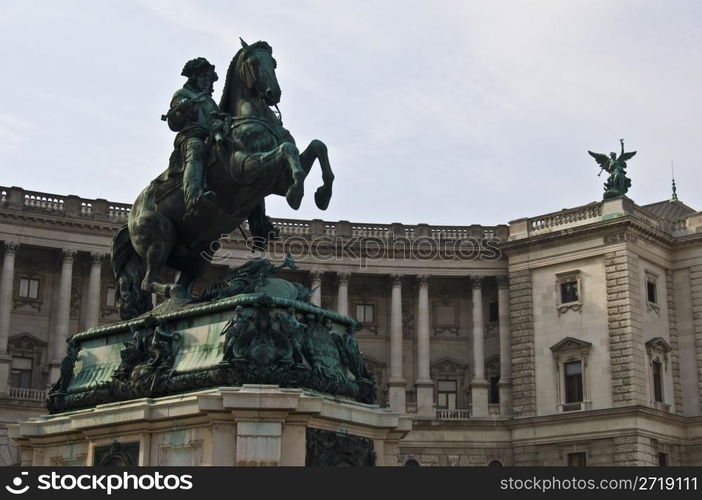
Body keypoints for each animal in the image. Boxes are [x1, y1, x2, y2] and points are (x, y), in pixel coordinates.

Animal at [112, 39, 336, 320]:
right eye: (253, 62)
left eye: (274, 63)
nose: (273, 94)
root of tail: (132, 214)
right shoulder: (246, 168)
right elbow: (288, 150)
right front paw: (297, 192)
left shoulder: (275, 180)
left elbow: (317, 146)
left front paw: (322, 194)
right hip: (158, 237)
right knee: (148, 280)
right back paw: (172, 293)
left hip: (199, 254)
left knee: (184, 281)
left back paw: (191, 299)